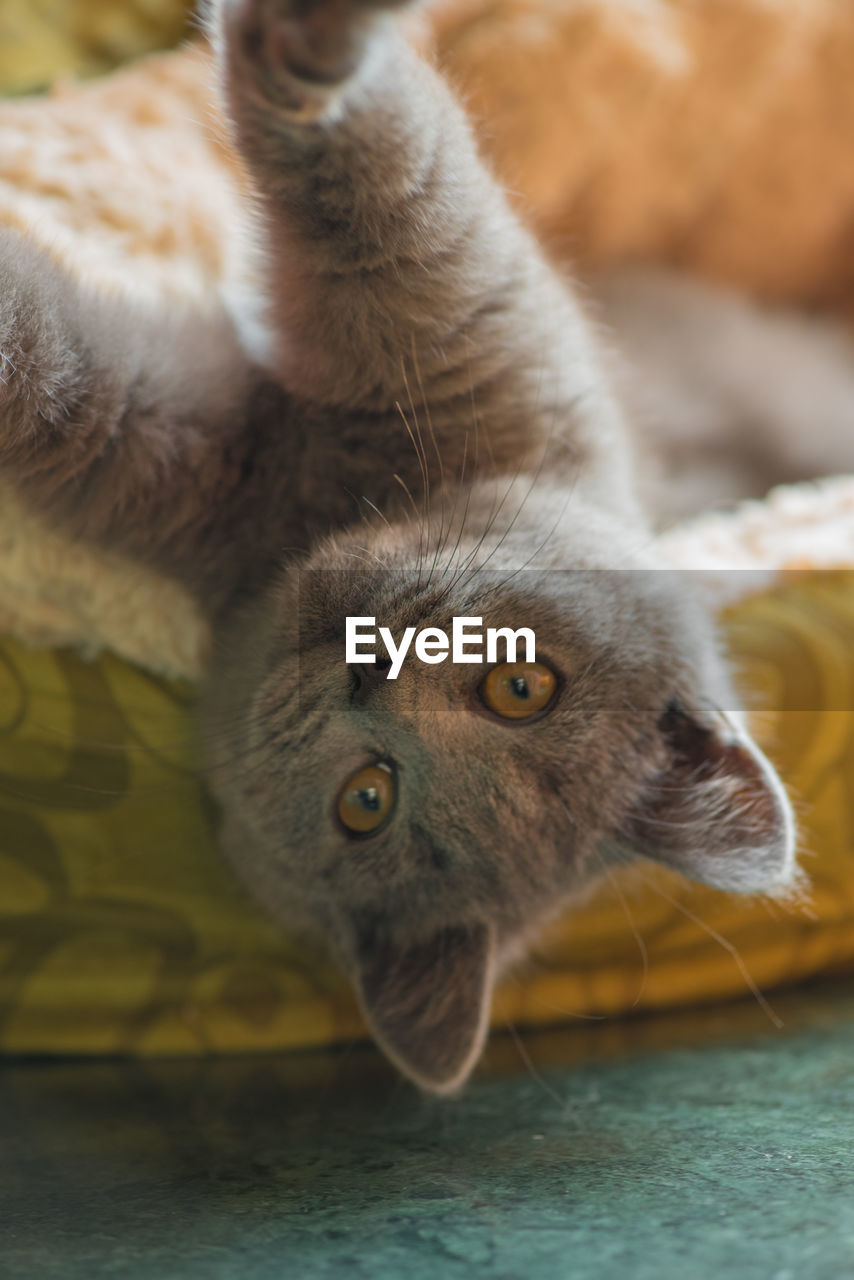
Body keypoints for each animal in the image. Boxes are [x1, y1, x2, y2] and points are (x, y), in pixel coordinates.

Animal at [0, 0, 798, 1095]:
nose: (369, 674)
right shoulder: (439, 320)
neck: (322, 506)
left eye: (365, 800)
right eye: (524, 685)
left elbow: (52, 364)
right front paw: (318, 46)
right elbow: (383, 173)